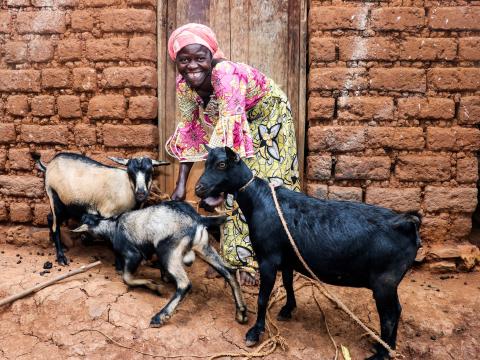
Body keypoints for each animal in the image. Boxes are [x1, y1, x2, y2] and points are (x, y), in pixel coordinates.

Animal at [33, 152, 169, 264]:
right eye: (130, 172)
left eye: (150, 171)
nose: (141, 193)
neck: (128, 187)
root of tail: (49, 165)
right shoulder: (108, 213)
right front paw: (119, 265)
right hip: (53, 195)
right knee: (55, 224)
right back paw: (61, 257)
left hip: (68, 204)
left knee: (50, 218)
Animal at [73, 201, 249, 328]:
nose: (82, 240)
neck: (112, 227)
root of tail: (198, 219)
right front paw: (164, 279)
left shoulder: (133, 254)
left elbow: (127, 278)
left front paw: (155, 286)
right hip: (203, 247)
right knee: (229, 271)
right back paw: (241, 313)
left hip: (168, 251)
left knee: (185, 284)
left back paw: (159, 317)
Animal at [194, 147, 420, 360]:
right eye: (206, 163)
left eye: (222, 164)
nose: (198, 189)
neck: (259, 200)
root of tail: (407, 224)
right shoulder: (287, 258)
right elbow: (287, 283)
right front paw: (288, 309)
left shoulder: (268, 259)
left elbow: (262, 298)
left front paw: (255, 332)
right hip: (389, 285)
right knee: (397, 310)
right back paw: (385, 346)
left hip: (384, 283)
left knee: (390, 315)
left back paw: (381, 353)